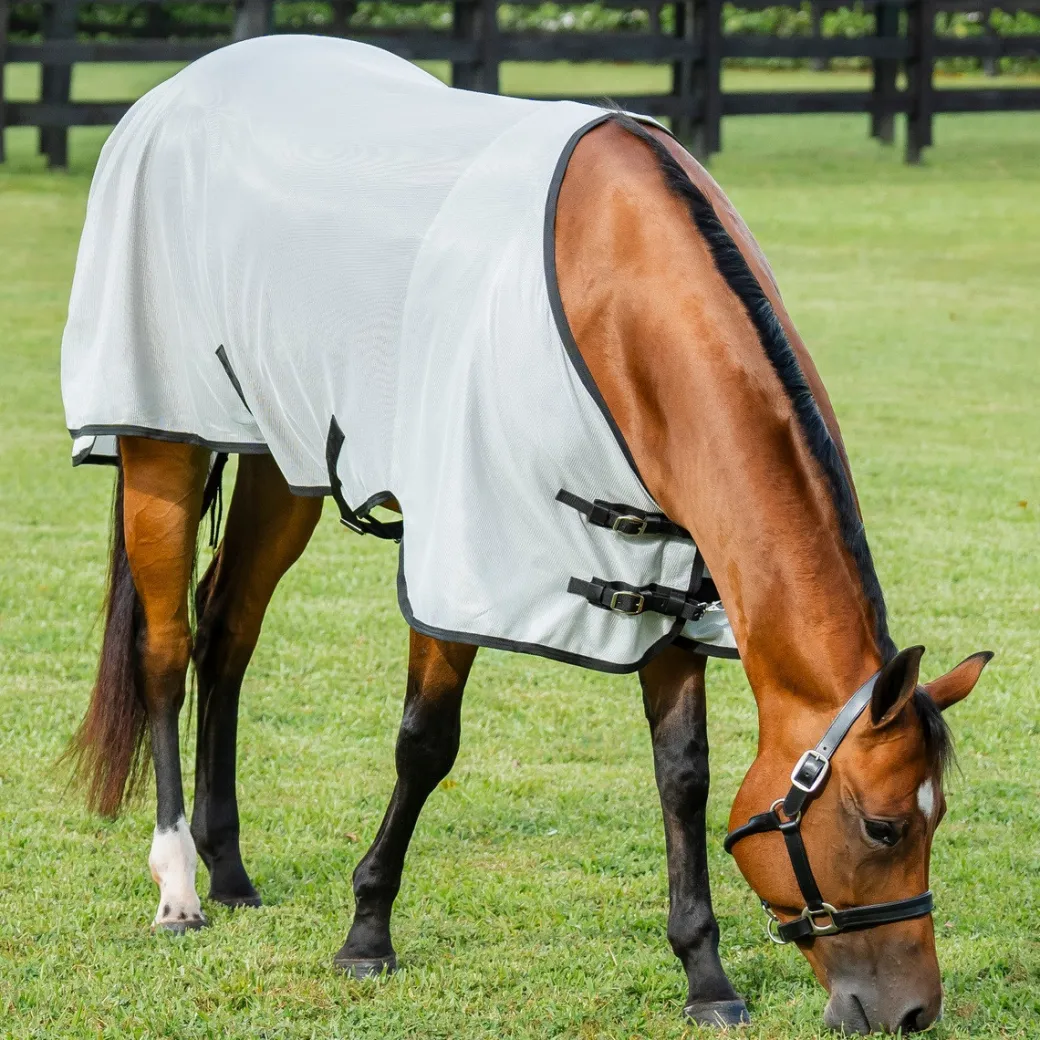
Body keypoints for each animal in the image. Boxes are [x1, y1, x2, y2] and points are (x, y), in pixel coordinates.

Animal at [62, 37, 991, 1034]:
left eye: (936, 820)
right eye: (884, 825)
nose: (911, 1011)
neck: (615, 289)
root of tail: (181, 87)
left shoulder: (666, 574)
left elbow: (684, 774)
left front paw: (705, 976)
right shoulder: (461, 557)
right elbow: (426, 743)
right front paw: (367, 934)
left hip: (283, 455)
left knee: (228, 632)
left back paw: (229, 869)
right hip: (163, 440)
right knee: (166, 649)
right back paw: (178, 887)